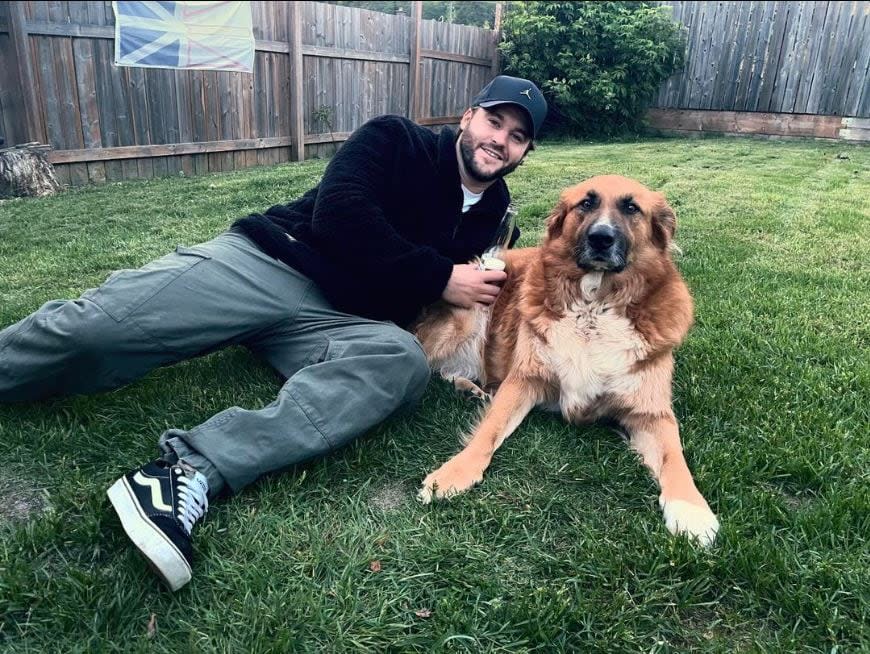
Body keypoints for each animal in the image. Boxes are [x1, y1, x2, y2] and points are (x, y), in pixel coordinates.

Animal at [416, 174, 724, 548]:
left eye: (631, 207)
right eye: (586, 204)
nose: (601, 238)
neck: (594, 307)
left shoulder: (651, 412)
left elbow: (674, 458)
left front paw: (692, 508)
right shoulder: (523, 381)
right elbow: (489, 431)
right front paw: (454, 472)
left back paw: (469, 388)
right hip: (466, 315)